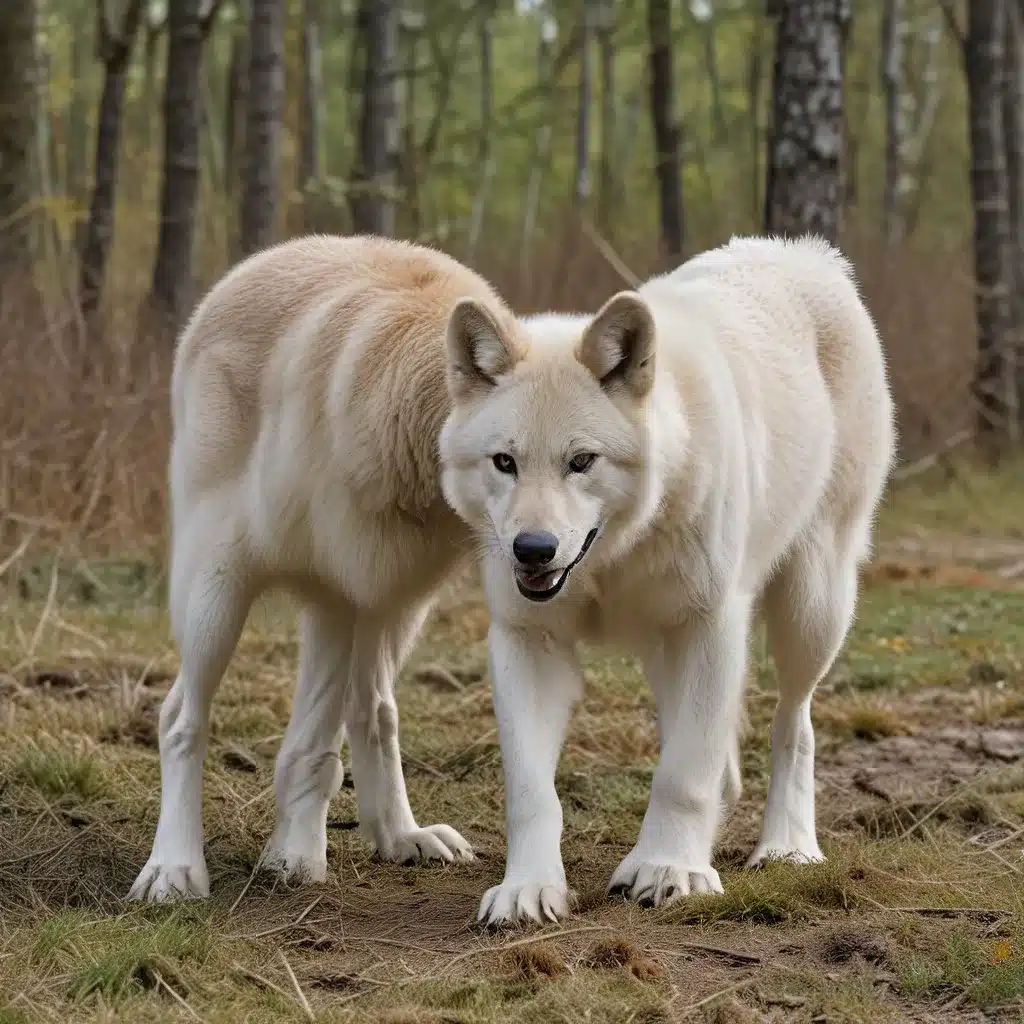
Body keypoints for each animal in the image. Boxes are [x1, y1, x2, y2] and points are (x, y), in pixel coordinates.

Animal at [128, 235, 532, 901]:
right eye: (508, 460)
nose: (539, 548)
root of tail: (237, 277)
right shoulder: (337, 592)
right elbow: (314, 747)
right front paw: (295, 858)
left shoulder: (376, 593)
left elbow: (352, 725)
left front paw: (298, 852)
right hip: (216, 594)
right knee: (179, 717)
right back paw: (175, 867)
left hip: (391, 611)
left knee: (374, 711)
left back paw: (400, 835)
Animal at [440, 234, 897, 929]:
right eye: (504, 462)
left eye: (582, 461)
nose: (533, 550)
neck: (612, 560)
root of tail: (808, 253)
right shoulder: (527, 641)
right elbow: (530, 789)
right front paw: (528, 889)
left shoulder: (709, 627)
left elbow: (683, 774)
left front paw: (669, 869)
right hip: (669, 650)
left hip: (811, 608)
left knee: (794, 723)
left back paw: (788, 847)